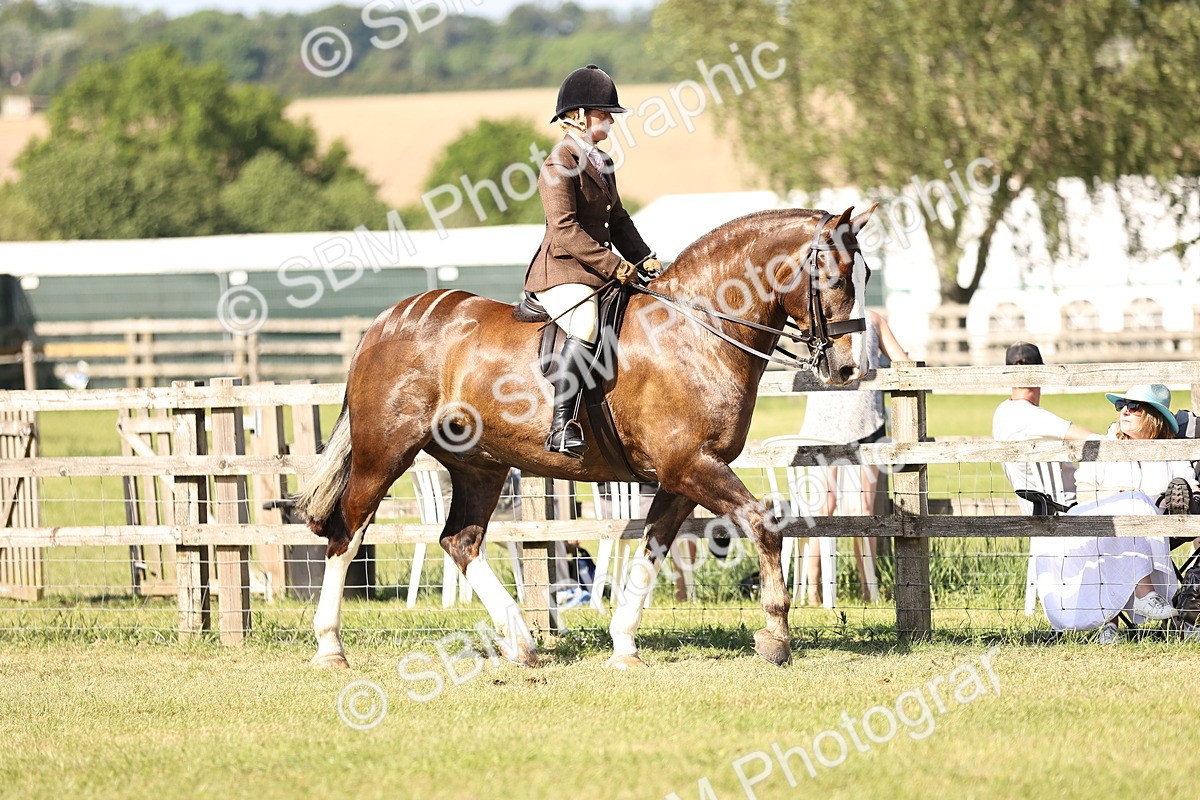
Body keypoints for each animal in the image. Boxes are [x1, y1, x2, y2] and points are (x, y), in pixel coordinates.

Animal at [294, 204, 878, 670]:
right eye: (833, 276)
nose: (851, 369)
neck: (695, 330)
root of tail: (386, 320)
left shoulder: (681, 476)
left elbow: (653, 549)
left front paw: (624, 645)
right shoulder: (692, 465)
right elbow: (763, 523)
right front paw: (776, 636)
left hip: (479, 465)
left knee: (460, 541)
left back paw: (522, 643)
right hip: (384, 452)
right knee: (347, 533)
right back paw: (330, 647)